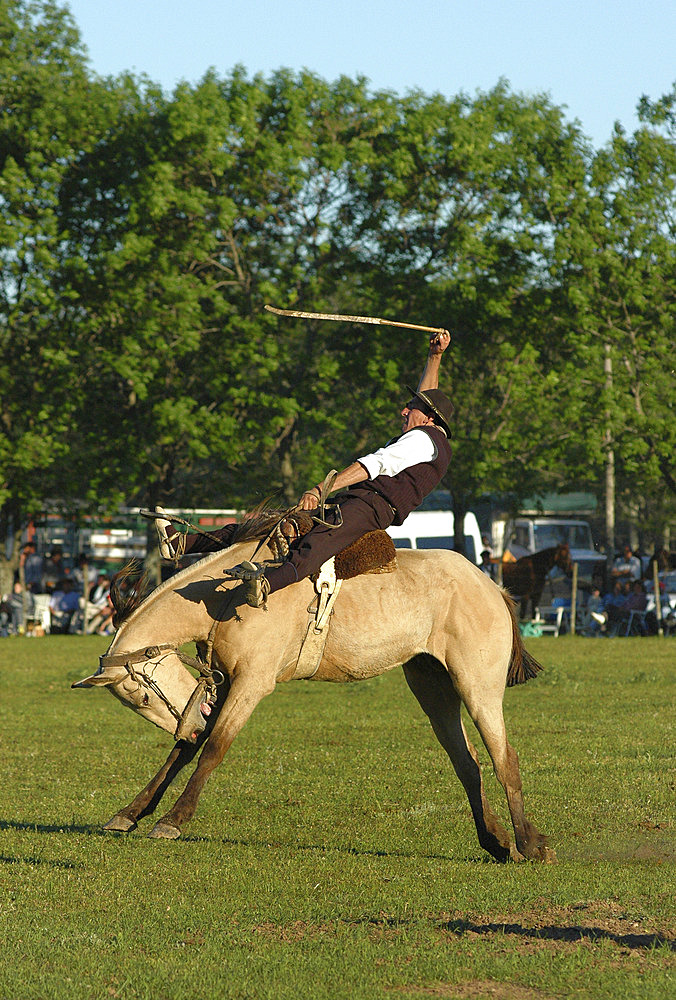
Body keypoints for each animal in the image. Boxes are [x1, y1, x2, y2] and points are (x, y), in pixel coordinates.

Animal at [72, 512, 556, 864]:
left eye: (141, 694)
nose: (184, 725)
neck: (222, 595)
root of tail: (493, 587)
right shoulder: (223, 684)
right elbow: (184, 752)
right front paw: (130, 813)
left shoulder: (251, 683)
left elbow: (213, 749)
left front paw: (173, 820)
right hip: (432, 686)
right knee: (467, 762)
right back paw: (496, 841)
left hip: (478, 686)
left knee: (504, 758)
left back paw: (530, 845)